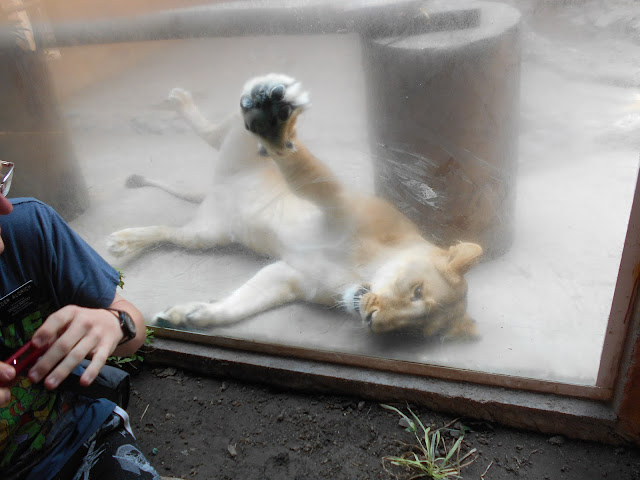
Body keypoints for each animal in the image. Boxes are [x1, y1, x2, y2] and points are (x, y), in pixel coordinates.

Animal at [107, 74, 483, 338]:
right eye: (417, 292)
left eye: (413, 329)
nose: (372, 320)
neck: (357, 272)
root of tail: (216, 188)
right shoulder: (334, 199)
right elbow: (304, 166)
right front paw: (278, 130)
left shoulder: (290, 277)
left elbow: (240, 305)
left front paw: (190, 314)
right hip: (239, 142)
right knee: (218, 131)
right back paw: (248, 99)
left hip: (206, 235)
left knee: (169, 232)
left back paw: (126, 242)